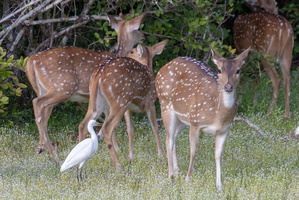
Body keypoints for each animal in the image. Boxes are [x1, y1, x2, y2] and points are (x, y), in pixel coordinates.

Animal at [26, 13, 146, 161]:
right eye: (137, 29)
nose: (143, 36)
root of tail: (31, 61)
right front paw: (118, 149)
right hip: (62, 87)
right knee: (37, 103)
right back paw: (52, 154)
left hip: (43, 89)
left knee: (43, 115)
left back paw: (45, 150)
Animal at [156, 47, 252, 190]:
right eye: (219, 70)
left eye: (238, 70)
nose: (228, 87)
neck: (218, 115)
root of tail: (163, 68)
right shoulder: (196, 123)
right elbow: (194, 151)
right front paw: (188, 180)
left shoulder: (224, 129)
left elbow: (218, 155)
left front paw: (219, 186)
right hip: (165, 104)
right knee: (169, 140)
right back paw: (171, 176)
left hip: (183, 118)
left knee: (174, 137)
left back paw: (177, 172)